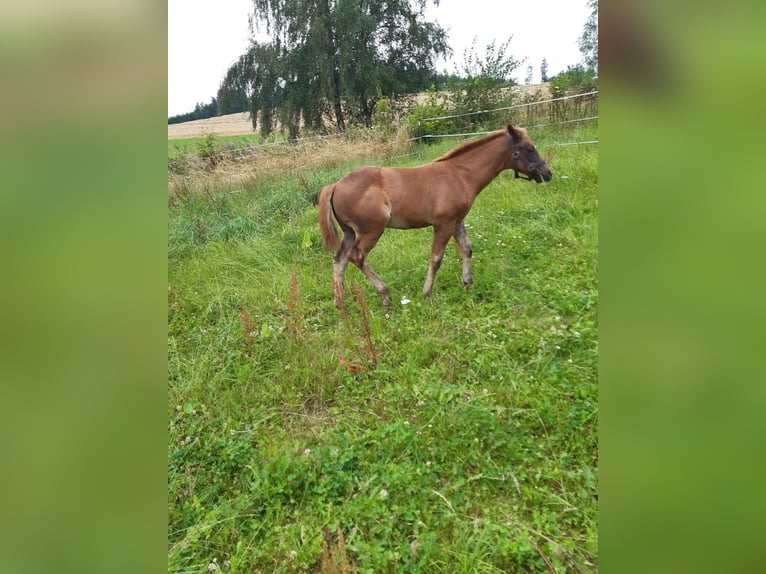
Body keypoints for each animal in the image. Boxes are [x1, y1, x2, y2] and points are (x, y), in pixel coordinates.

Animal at [318, 124, 552, 308]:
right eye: (529, 149)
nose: (548, 174)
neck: (460, 175)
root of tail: (336, 185)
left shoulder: (457, 221)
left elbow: (467, 248)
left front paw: (467, 283)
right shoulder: (444, 224)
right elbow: (436, 258)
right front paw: (426, 293)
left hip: (350, 232)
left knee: (339, 260)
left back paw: (339, 303)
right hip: (371, 230)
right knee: (356, 257)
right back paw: (385, 295)